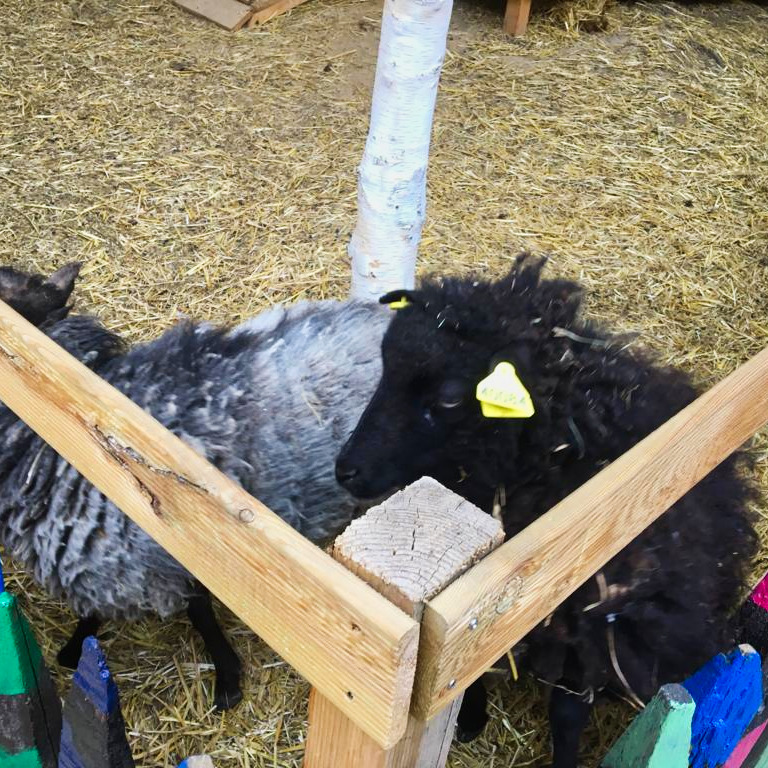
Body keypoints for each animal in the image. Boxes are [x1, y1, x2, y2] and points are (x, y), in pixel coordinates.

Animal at [340, 256, 760, 768]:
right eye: (384, 366)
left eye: (450, 396)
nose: (346, 470)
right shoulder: (477, 613)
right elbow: (467, 672)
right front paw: (470, 719)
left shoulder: (591, 624)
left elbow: (567, 712)